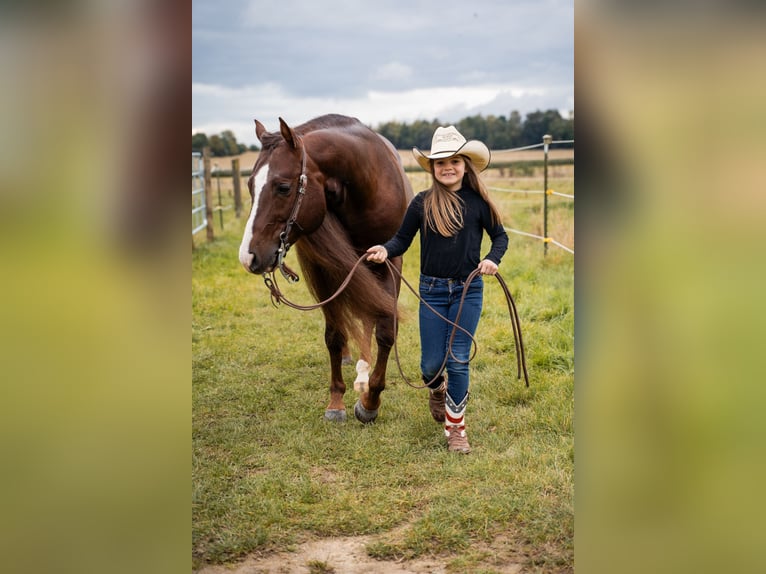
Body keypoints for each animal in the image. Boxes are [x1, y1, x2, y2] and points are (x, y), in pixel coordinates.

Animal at [240, 115, 414, 426]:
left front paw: (370, 401)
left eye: (283, 187)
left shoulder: (390, 263)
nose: (248, 256)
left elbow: (384, 330)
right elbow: (334, 335)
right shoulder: (325, 270)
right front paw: (337, 401)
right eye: (250, 185)